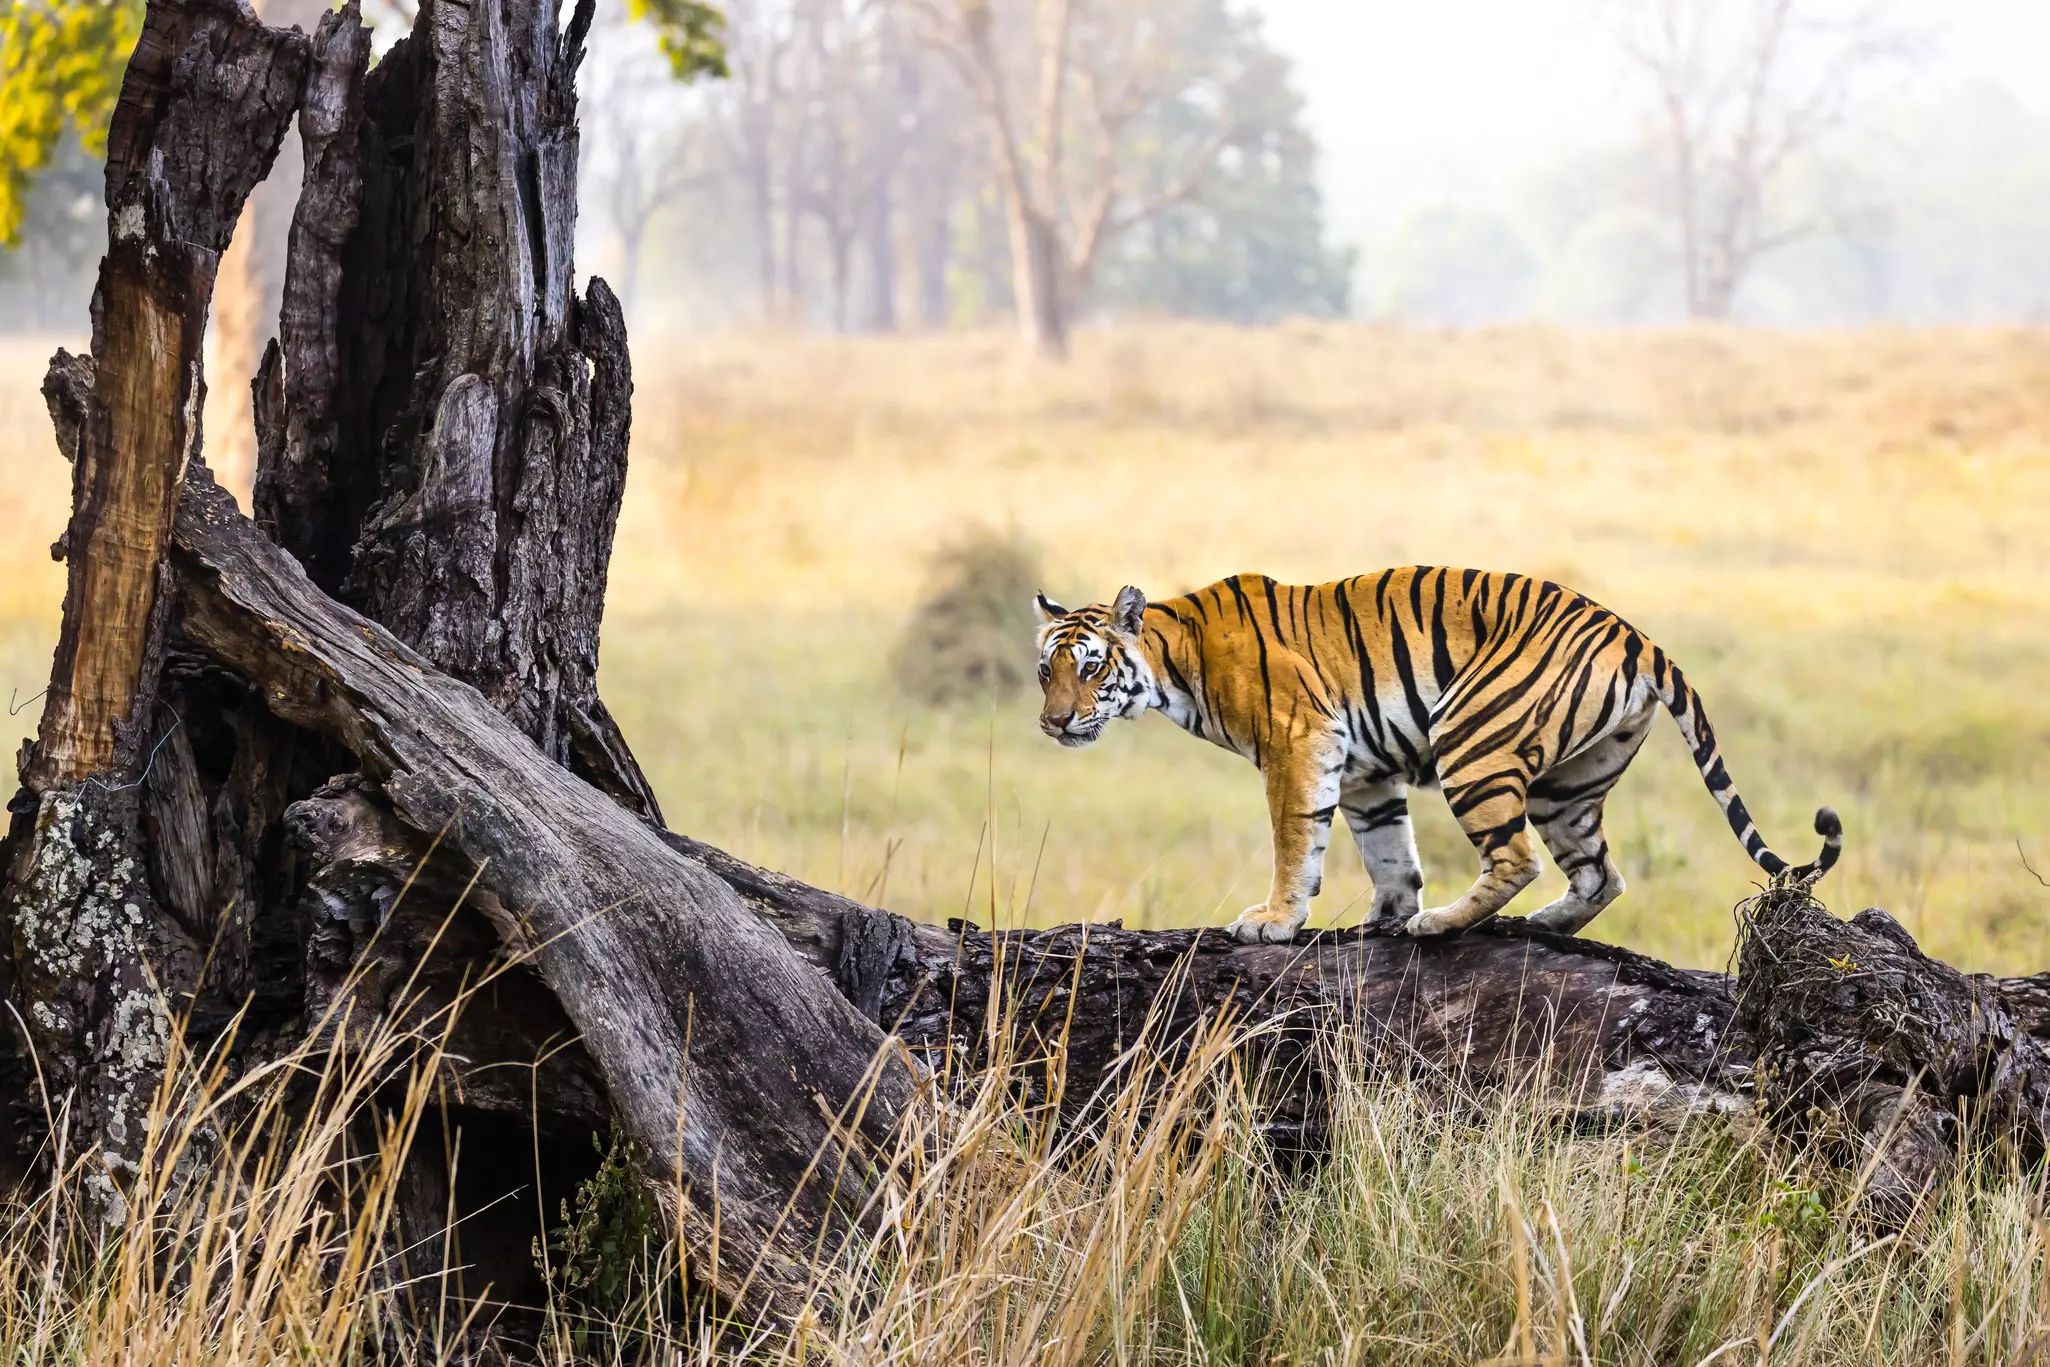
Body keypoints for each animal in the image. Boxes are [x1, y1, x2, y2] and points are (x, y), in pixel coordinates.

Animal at [1033, 568, 1841, 943]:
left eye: (1092, 667)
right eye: (1047, 669)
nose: (1054, 722)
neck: (1176, 659)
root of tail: (1638, 635)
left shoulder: (1299, 743)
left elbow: (1295, 842)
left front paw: (1275, 920)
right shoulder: (1364, 771)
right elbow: (1388, 851)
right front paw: (1384, 917)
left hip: (1471, 734)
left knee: (1517, 858)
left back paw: (1447, 924)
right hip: (1567, 786)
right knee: (1600, 874)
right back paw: (1539, 926)